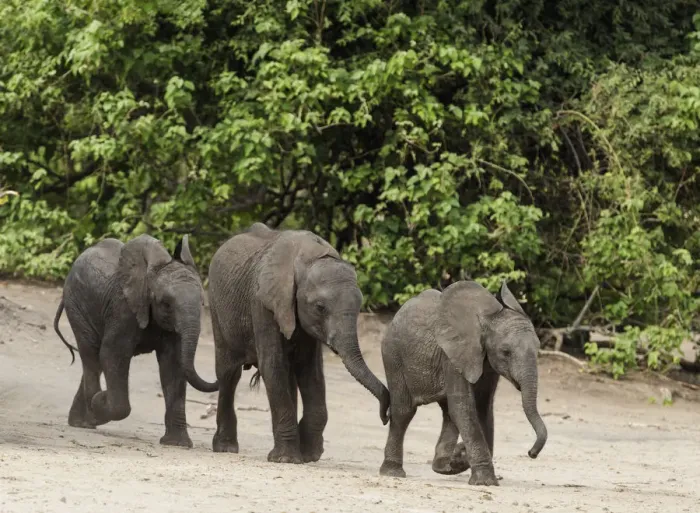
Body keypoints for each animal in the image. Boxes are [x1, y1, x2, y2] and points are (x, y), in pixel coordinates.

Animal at [53, 234, 218, 447]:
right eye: (166, 304)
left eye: (202, 304)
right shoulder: (123, 309)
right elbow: (113, 354)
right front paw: (101, 400)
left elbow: (173, 364)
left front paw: (177, 444)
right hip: (77, 305)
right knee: (92, 355)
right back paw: (93, 410)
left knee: (95, 361)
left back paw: (83, 421)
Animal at [207, 222, 390, 463]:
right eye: (320, 307)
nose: (386, 417)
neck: (305, 258)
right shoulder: (263, 303)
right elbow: (272, 366)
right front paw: (286, 459)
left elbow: (310, 370)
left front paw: (309, 455)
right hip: (216, 307)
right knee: (229, 374)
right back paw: (226, 447)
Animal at [378, 280, 548, 486]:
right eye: (505, 352)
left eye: (538, 349)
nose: (531, 453)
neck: (485, 321)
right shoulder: (452, 356)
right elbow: (464, 407)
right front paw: (484, 481)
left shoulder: (486, 364)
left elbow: (482, 407)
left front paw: (459, 459)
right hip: (393, 355)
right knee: (404, 411)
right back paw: (393, 472)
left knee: (448, 413)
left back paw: (443, 466)